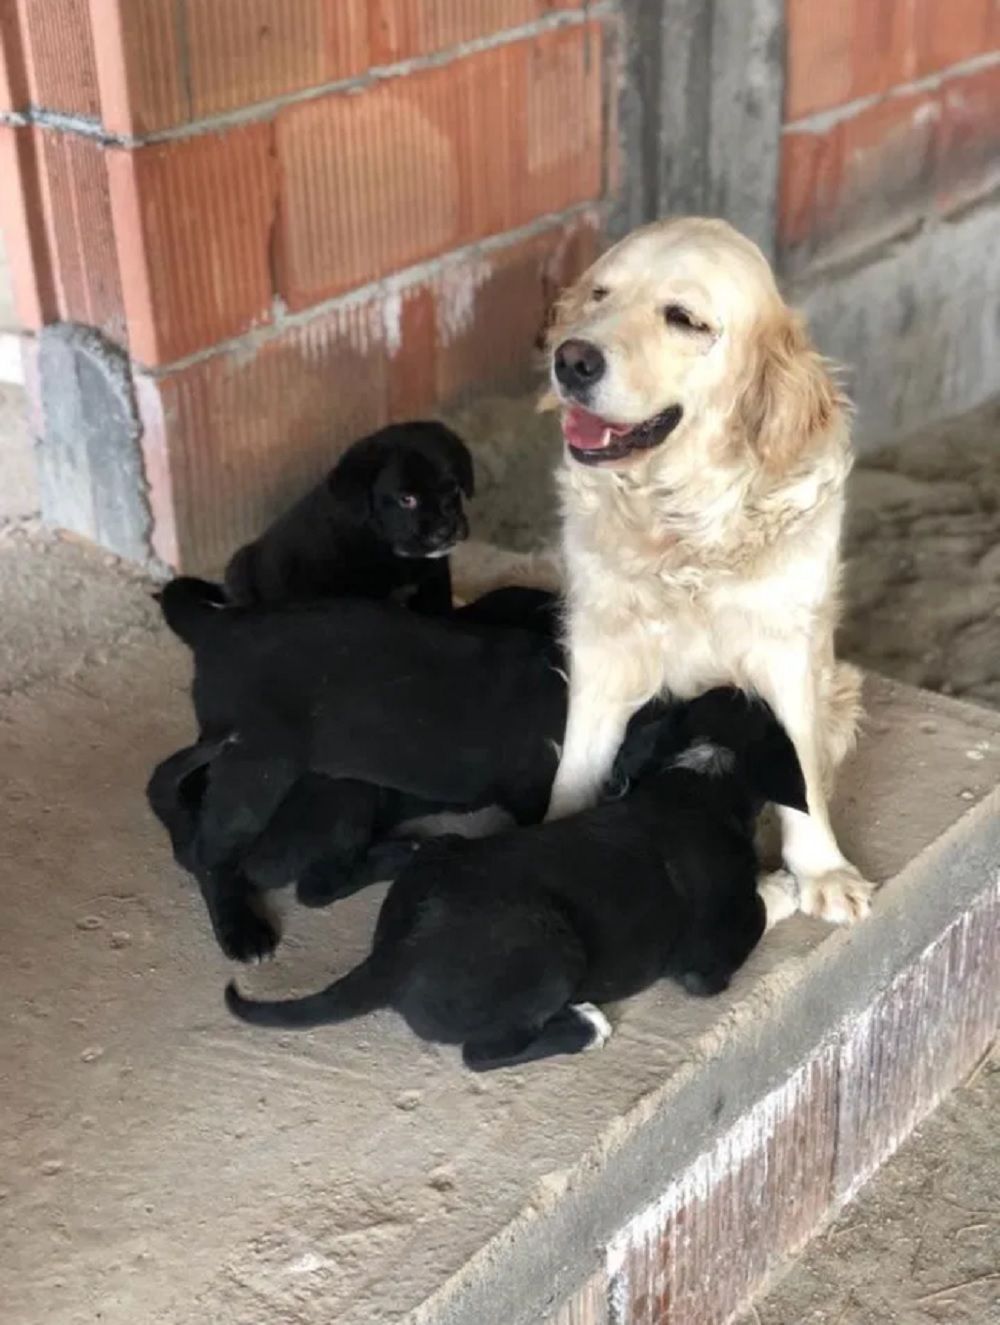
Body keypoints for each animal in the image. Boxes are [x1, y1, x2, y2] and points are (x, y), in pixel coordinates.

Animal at [225, 689, 805, 1070]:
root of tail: (392, 957)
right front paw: (783, 886)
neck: (701, 776)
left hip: (445, 850)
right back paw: (585, 1027)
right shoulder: (707, 966)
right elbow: (757, 910)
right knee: (481, 1055)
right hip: (554, 952)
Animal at [540, 214, 868, 922]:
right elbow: (577, 763)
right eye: (600, 294)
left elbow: (800, 772)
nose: (571, 359)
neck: (681, 529)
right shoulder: (604, 644)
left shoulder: (784, 646)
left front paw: (822, 871)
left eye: (684, 319)